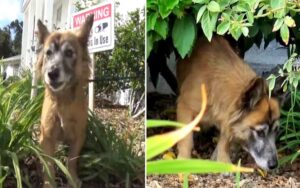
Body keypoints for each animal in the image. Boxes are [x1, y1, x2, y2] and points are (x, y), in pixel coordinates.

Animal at [36, 14, 93, 187]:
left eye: (69, 52)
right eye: (48, 53)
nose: (52, 73)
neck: (63, 102)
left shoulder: (79, 135)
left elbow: (71, 160)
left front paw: (72, 179)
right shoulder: (47, 137)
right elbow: (49, 165)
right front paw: (49, 183)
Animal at [177, 36, 280, 170]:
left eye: (276, 131)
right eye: (260, 132)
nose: (274, 165)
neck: (212, 84)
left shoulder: (228, 116)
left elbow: (225, 141)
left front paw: (223, 161)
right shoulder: (184, 107)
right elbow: (186, 138)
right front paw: (183, 161)